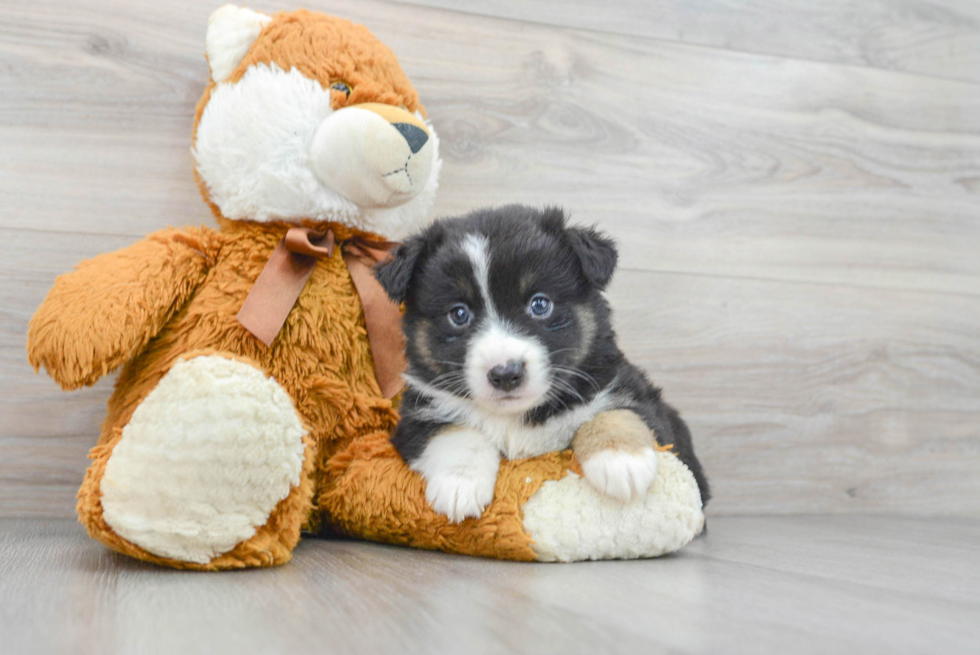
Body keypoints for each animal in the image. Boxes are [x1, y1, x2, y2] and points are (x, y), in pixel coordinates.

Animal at [372, 205, 708, 524]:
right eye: (458, 314)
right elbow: (456, 432)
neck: (516, 418)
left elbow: (613, 413)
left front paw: (622, 462)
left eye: (540, 304)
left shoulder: (625, 386)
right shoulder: (418, 415)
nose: (506, 374)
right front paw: (459, 486)